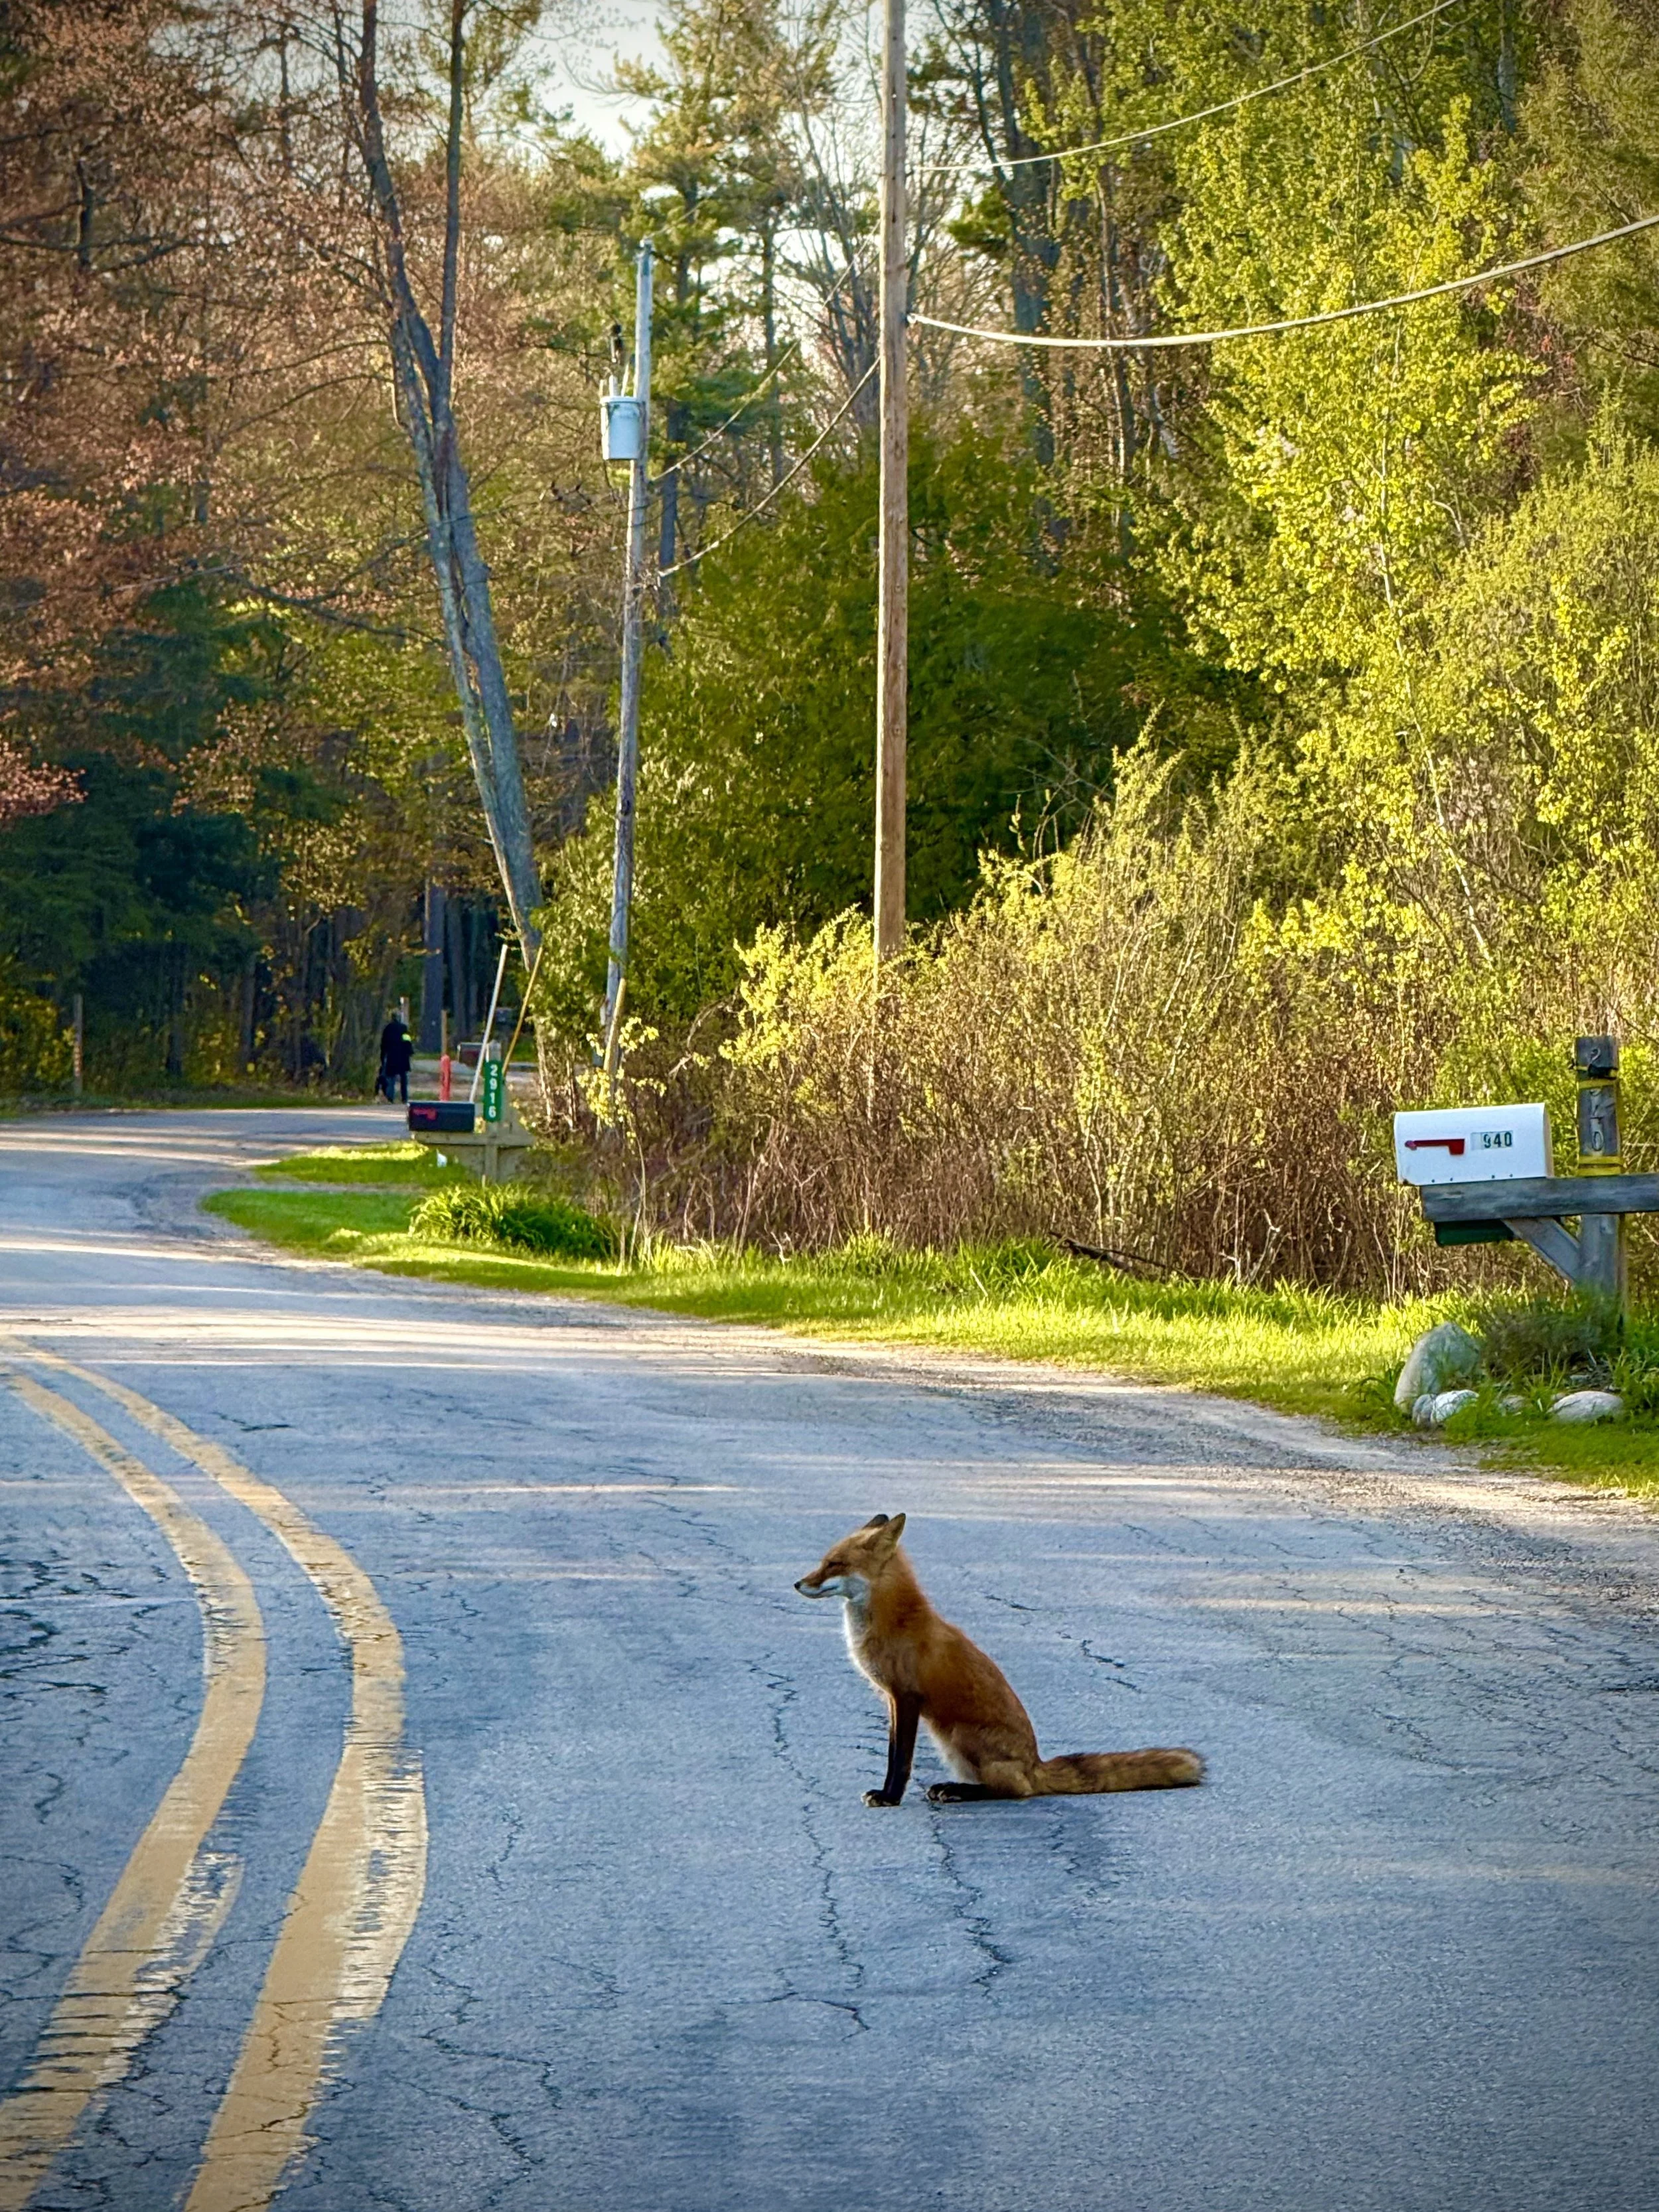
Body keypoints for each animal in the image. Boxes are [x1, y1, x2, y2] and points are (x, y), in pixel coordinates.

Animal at [794, 1512, 1204, 1807]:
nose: (798, 1584)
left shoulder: (906, 1697)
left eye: (834, 1564)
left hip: (956, 1734)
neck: (893, 1621)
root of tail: (1036, 1763)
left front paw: (890, 1797)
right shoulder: (892, 1700)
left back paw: (957, 1791)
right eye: (824, 1562)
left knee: (1015, 1790)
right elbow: (896, 1754)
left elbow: (901, 1760)